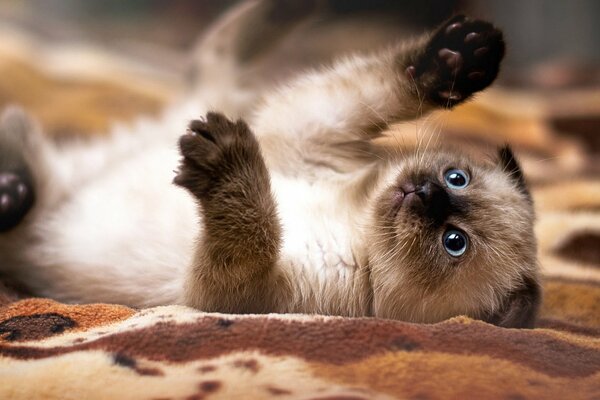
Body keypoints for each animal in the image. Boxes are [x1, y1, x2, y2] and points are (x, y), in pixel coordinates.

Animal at [0, 14, 540, 328]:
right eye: (457, 178)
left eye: (455, 242)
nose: (425, 192)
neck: (354, 222)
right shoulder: (307, 126)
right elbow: (376, 87)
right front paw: (458, 56)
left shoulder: (227, 294)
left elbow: (255, 226)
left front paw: (227, 162)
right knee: (216, 53)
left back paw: (8, 195)